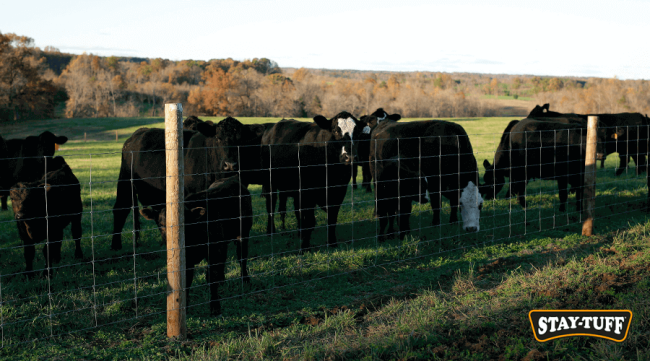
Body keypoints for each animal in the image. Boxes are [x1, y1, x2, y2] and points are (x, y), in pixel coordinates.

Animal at [139, 176, 251, 314]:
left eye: (185, 223)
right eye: (161, 224)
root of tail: (231, 179)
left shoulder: (214, 250)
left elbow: (212, 277)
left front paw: (215, 306)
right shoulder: (187, 260)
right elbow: (186, 283)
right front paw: (185, 308)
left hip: (243, 234)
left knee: (242, 257)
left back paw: (245, 279)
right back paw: (222, 280)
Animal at [260, 112, 368, 250]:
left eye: (358, 132)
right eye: (335, 130)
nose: (350, 157)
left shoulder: (339, 191)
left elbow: (332, 218)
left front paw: (332, 243)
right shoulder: (308, 192)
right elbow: (310, 220)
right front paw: (305, 247)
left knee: (296, 210)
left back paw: (299, 232)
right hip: (270, 184)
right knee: (271, 206)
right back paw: (271, 232)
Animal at [484, 119, 612, 211]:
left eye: (605, 138)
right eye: (591, 138)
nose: (601, 155)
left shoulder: (579, 177)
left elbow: (579, 195)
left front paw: (579, 211)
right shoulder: (562, 176)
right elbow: (563, 194)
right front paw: (562, 211)